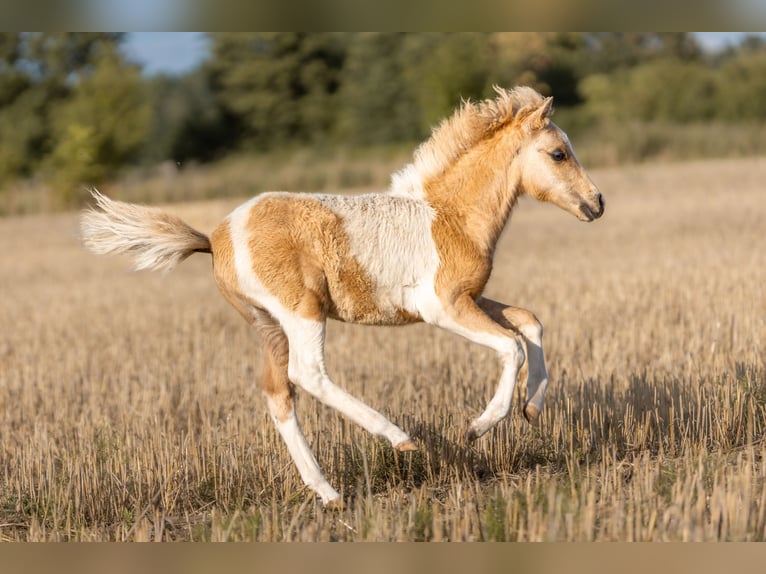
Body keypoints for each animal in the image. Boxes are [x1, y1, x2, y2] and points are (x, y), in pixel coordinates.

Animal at [78, 84, 608, 508]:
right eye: (558, 153)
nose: (598, 203)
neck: (449, 215)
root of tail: (215, 237)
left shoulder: (471, 298)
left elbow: (530, 321)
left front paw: (532, 408)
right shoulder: (442, 308)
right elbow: (511, 345)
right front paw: (478, 427)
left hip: (268, 325)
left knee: (279, 394)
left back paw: (329, 493)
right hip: (303, 311)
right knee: (308, 374)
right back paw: (399, 439)